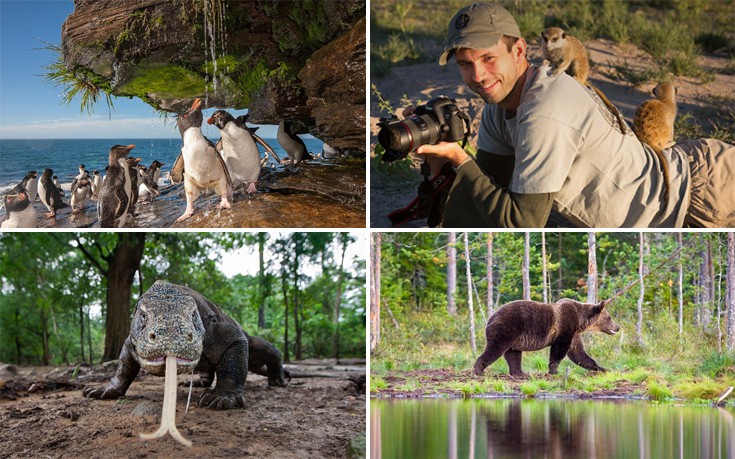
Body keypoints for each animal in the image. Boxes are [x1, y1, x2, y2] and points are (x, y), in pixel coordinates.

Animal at [472, 298, 620, 378]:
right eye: (609, 317)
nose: (618, 327)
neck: (580, 321)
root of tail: (490, 318)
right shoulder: (566, 324)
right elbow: (560, 348)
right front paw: (554, 370)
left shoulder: (574, 333)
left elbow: (578, 353)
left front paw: (602, 368)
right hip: (507, 328)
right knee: (495, 348)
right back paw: (479, 370)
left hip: (514, 338)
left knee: (513, 355)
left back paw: (519, 373)